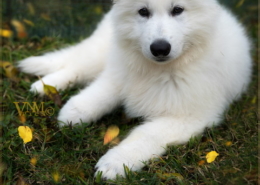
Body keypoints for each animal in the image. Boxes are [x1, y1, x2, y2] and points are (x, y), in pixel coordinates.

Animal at [18, 0, 252, 180]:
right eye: (143, 11)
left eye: (178, 10)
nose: (160, 48)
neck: (160, 70)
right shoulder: (120, 70)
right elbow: (102, 91)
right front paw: (74, 111)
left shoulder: (189, 117)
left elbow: (146, 135)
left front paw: (116, 162)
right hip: (105, 47)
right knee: (80, 63)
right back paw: (46, 86)